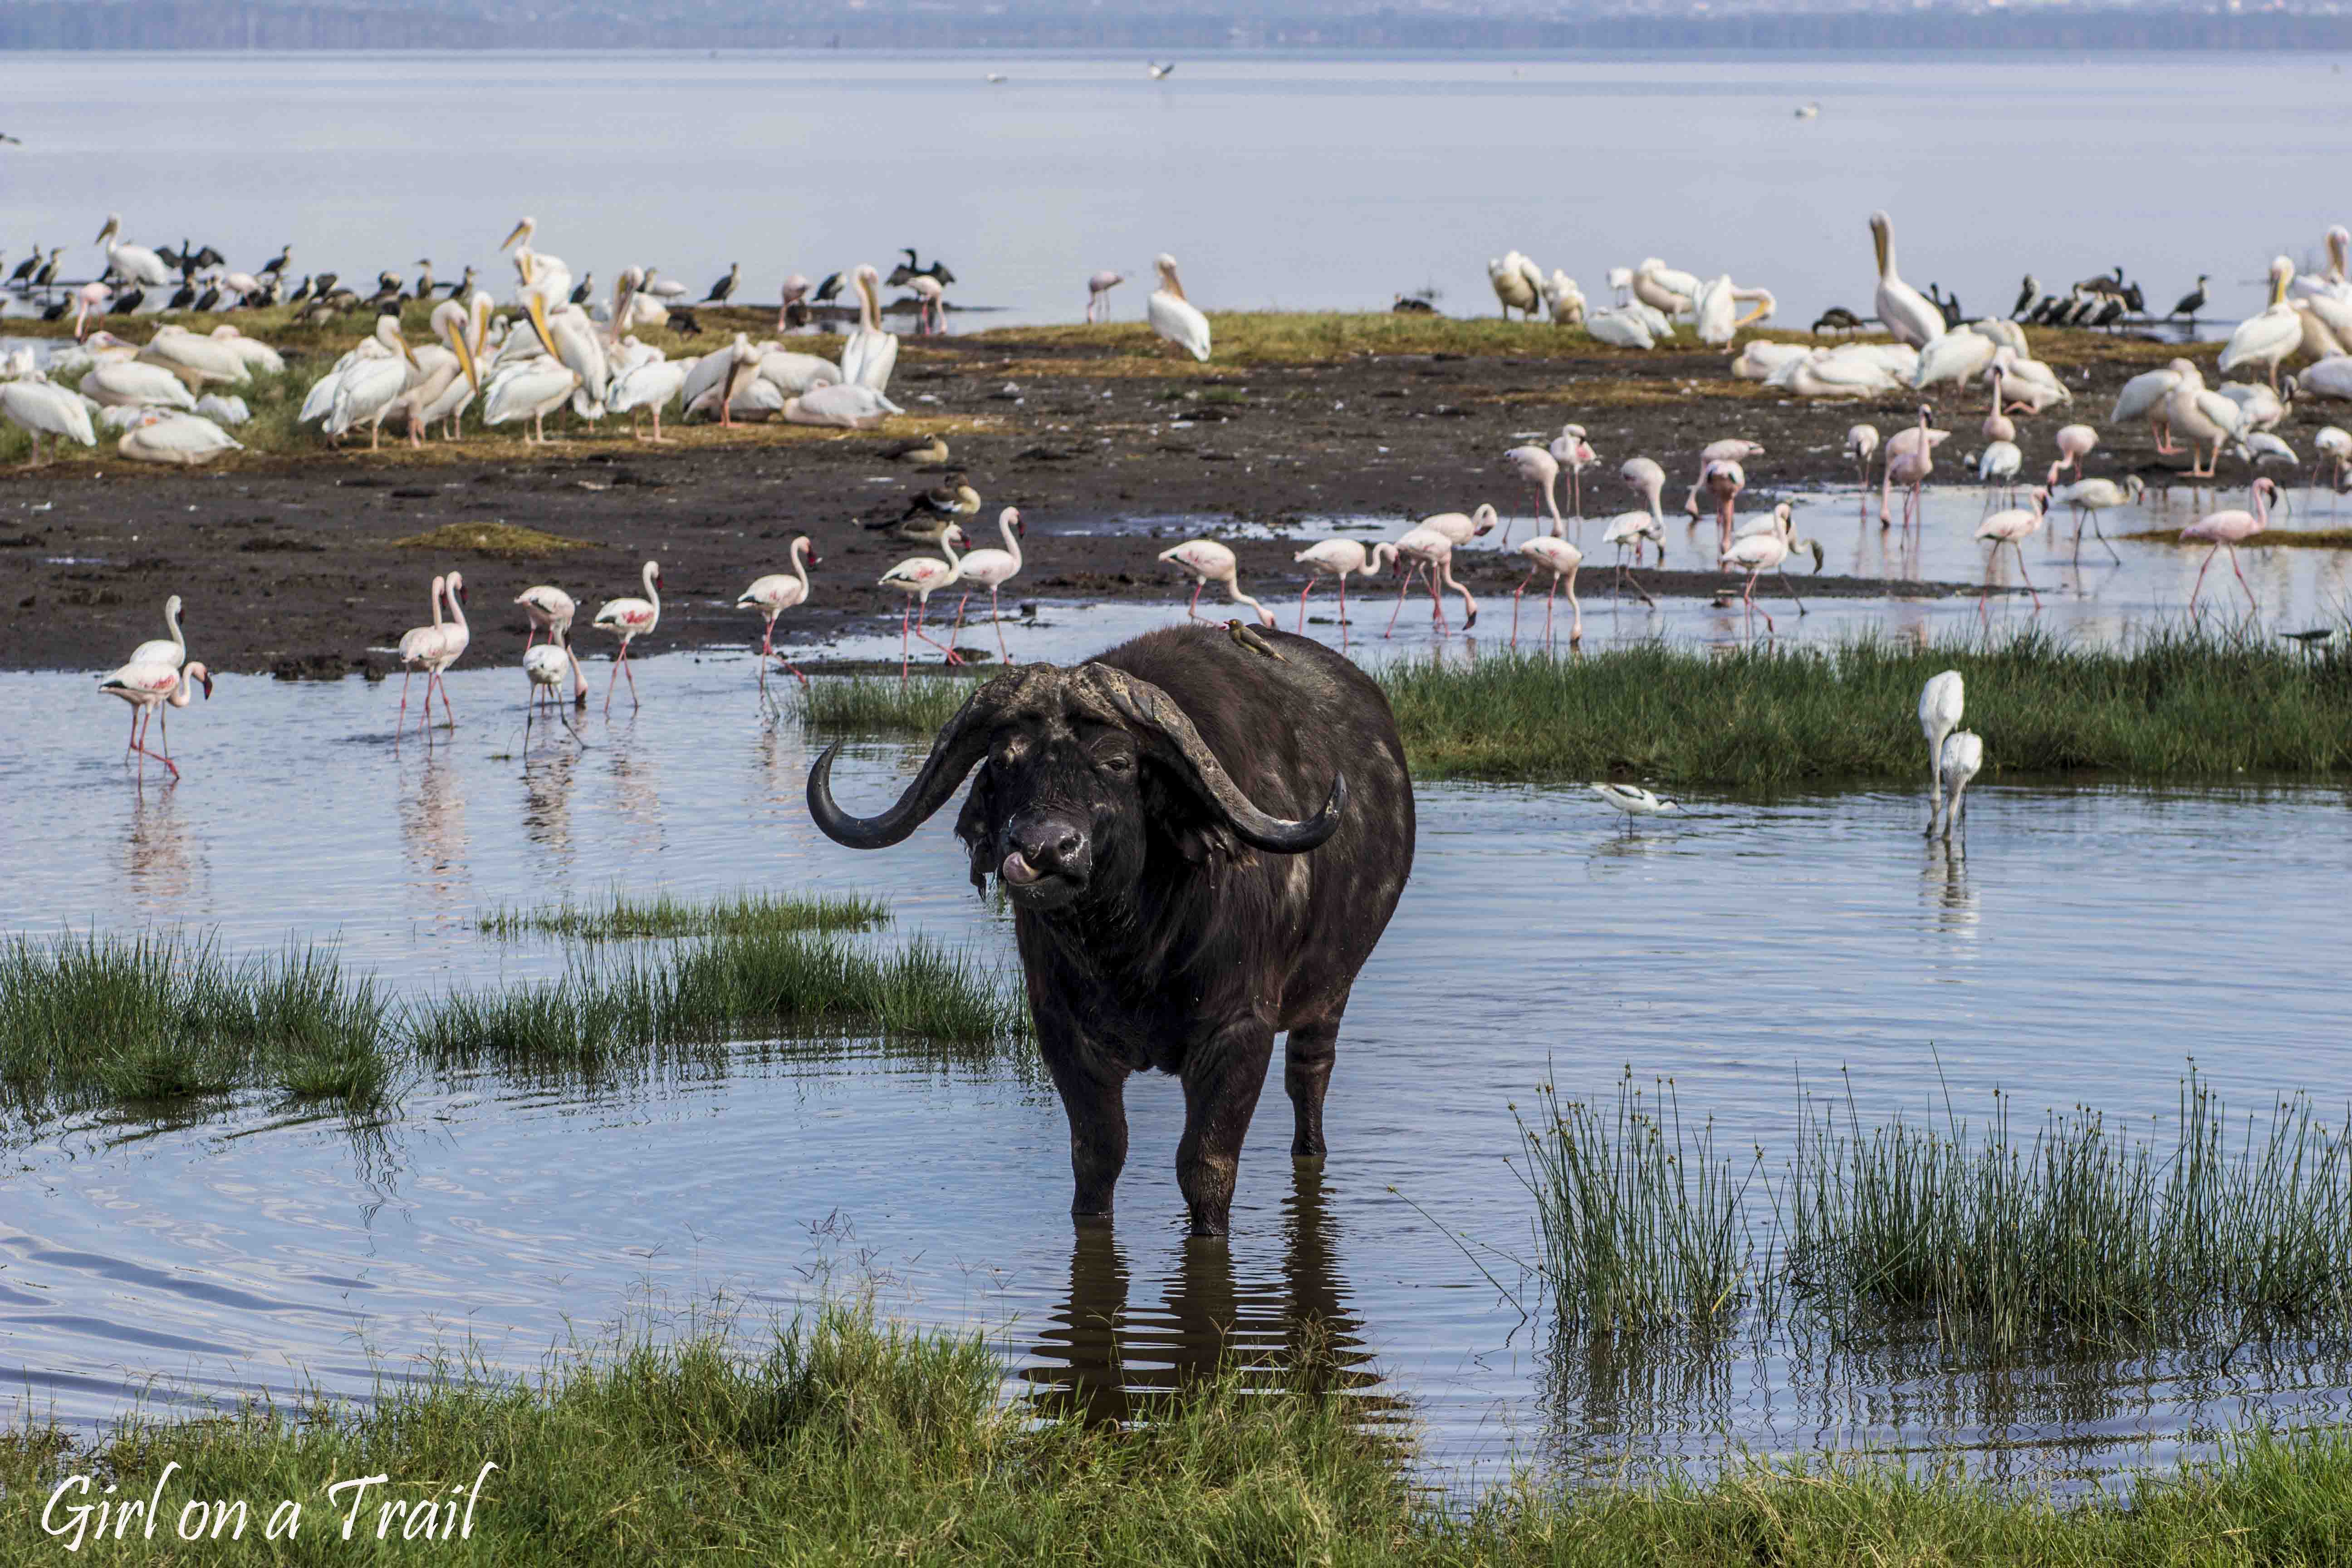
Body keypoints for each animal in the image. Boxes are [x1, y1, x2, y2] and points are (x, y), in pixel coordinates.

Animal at [809, 625, 1401, 1241]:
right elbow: (1098, 1153)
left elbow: (1206, 1165)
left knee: (1310, 1076)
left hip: (1331, 993)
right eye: (1004, 759)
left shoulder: (1239, 1030)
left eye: (1117, 762)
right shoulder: (1061, 1028)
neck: (1132, 950)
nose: (1045, 848)